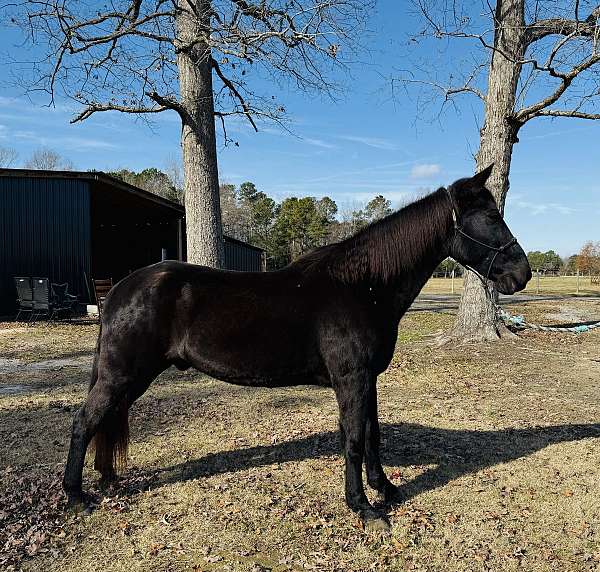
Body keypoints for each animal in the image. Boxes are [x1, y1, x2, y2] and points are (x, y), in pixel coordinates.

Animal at [64, 165, 528, 532]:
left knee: (106, 420)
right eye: (491, 215)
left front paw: (385, 488)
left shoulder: (369, 379)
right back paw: (76, 496)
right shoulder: (351, 379)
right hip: (122, 375)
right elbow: (353, 439)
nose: (521, 273)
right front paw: (363, 507)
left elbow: (372, 434)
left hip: (130, 378)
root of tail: (119, 289)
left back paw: (108, 479)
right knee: (85, 422)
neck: (361, 287)